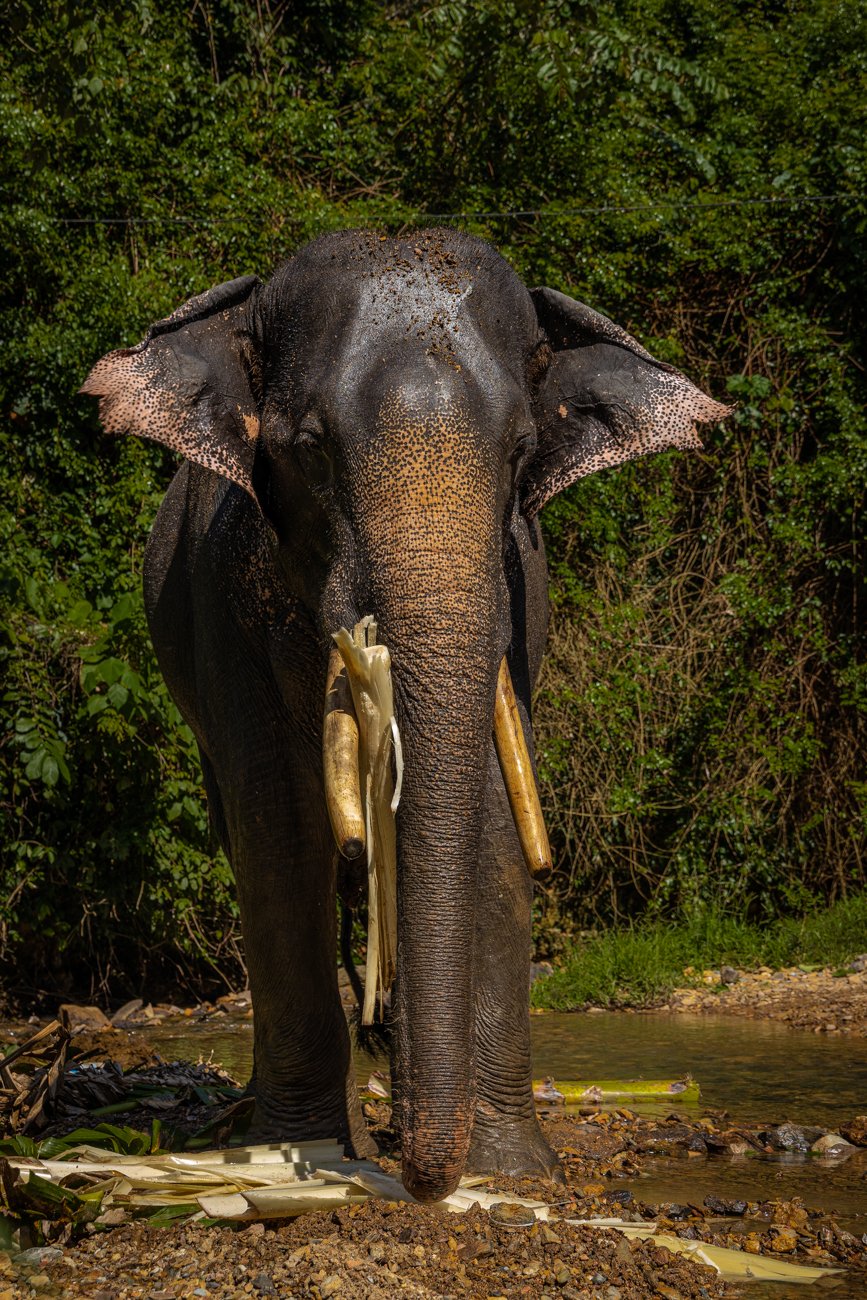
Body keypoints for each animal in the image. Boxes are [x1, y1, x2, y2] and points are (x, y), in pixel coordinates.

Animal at [84, 226, 727, 1196]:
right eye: (311, 448)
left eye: (520, 451)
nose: (426, 1183)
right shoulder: (221, 605)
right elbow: (281, 828)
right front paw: (307, 1152)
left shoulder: (517, 595)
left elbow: (492, 819)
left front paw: (509, 1169)